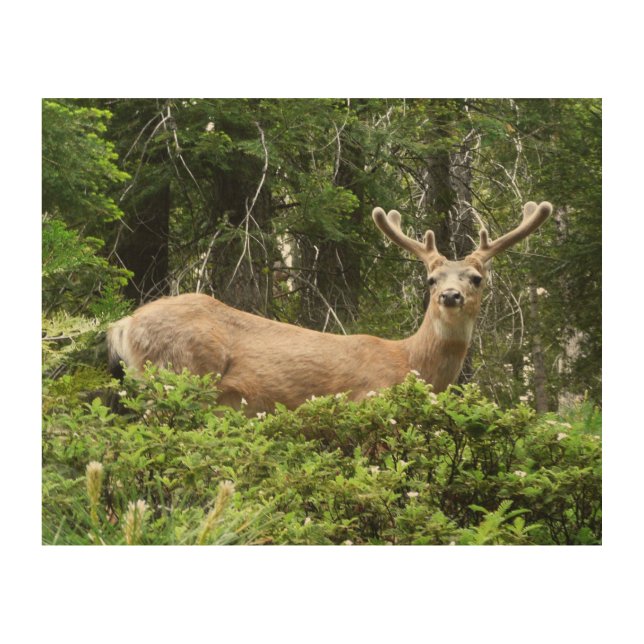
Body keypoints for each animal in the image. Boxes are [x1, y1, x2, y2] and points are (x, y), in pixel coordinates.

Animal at [107, 201, 552, 415]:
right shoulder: (367, 402)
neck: (410, 363)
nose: (450, 296)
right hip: (176, 372)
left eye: (476, 278)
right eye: (431, 279)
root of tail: (124, 324)